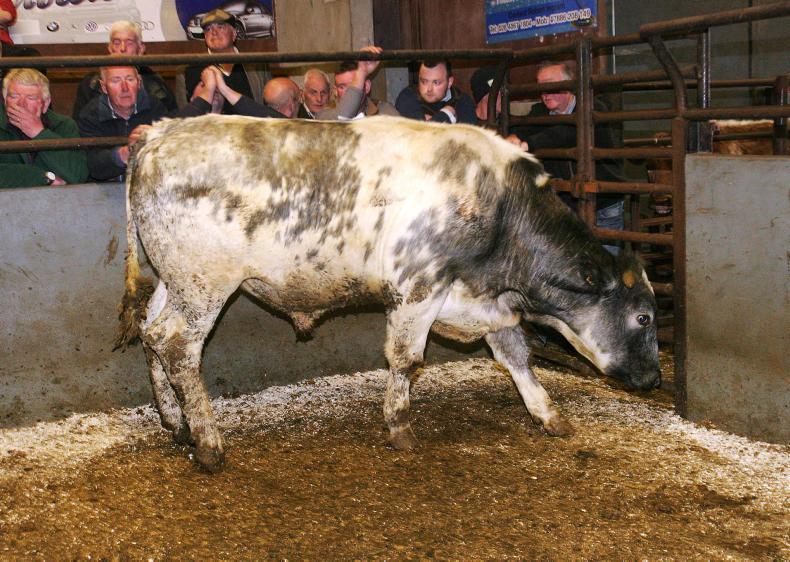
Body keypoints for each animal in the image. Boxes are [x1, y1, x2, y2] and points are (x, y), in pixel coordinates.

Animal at [116, 114, 660, 472]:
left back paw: (176, 423)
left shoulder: (487, 302)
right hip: (205, 285)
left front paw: (549, 415)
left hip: (175, 280)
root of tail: (160, 132)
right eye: (644, 318)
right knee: (178, 347)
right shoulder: (417, 285)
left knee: (151, 331)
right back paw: (208, 443)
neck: (500, 207)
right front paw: (400, 427)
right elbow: (407, 359)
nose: (654, 379)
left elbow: (516, 358)